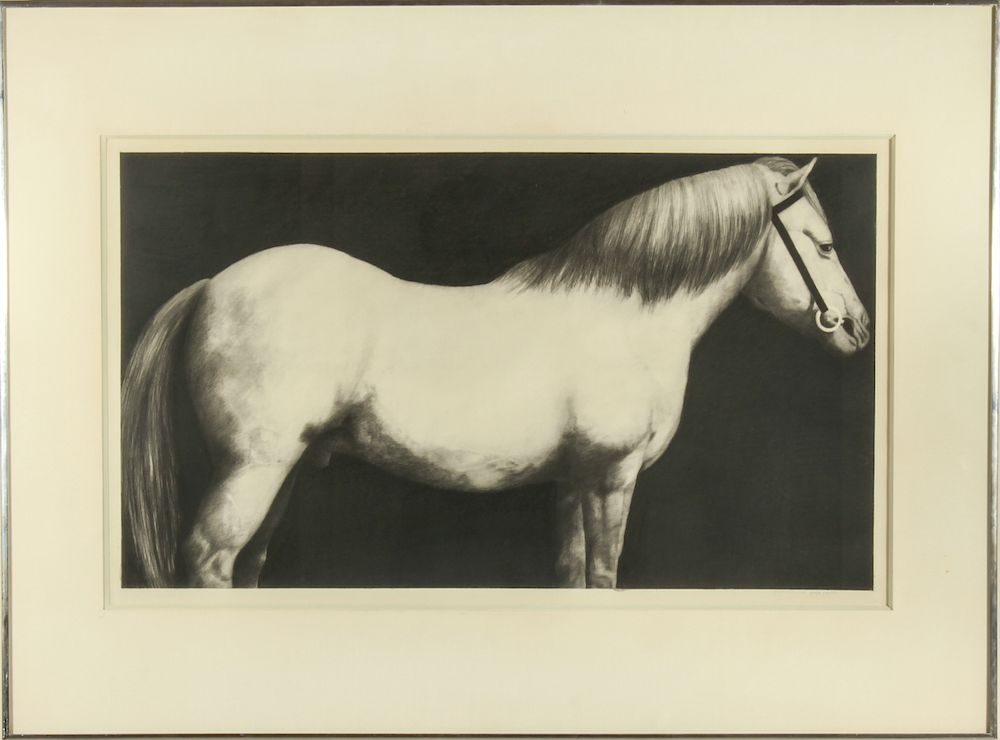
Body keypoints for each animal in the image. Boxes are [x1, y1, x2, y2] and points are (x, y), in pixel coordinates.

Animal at [121, 156, 871, 589]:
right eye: (823, 245)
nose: (859, 330)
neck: (623, 319)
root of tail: (213, 283)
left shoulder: (571, 484)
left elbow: (571, 578)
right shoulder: (611, 479)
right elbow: (604, 577)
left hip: (286, 472)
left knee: (246, 568)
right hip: (253, 470)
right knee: (211, 560)